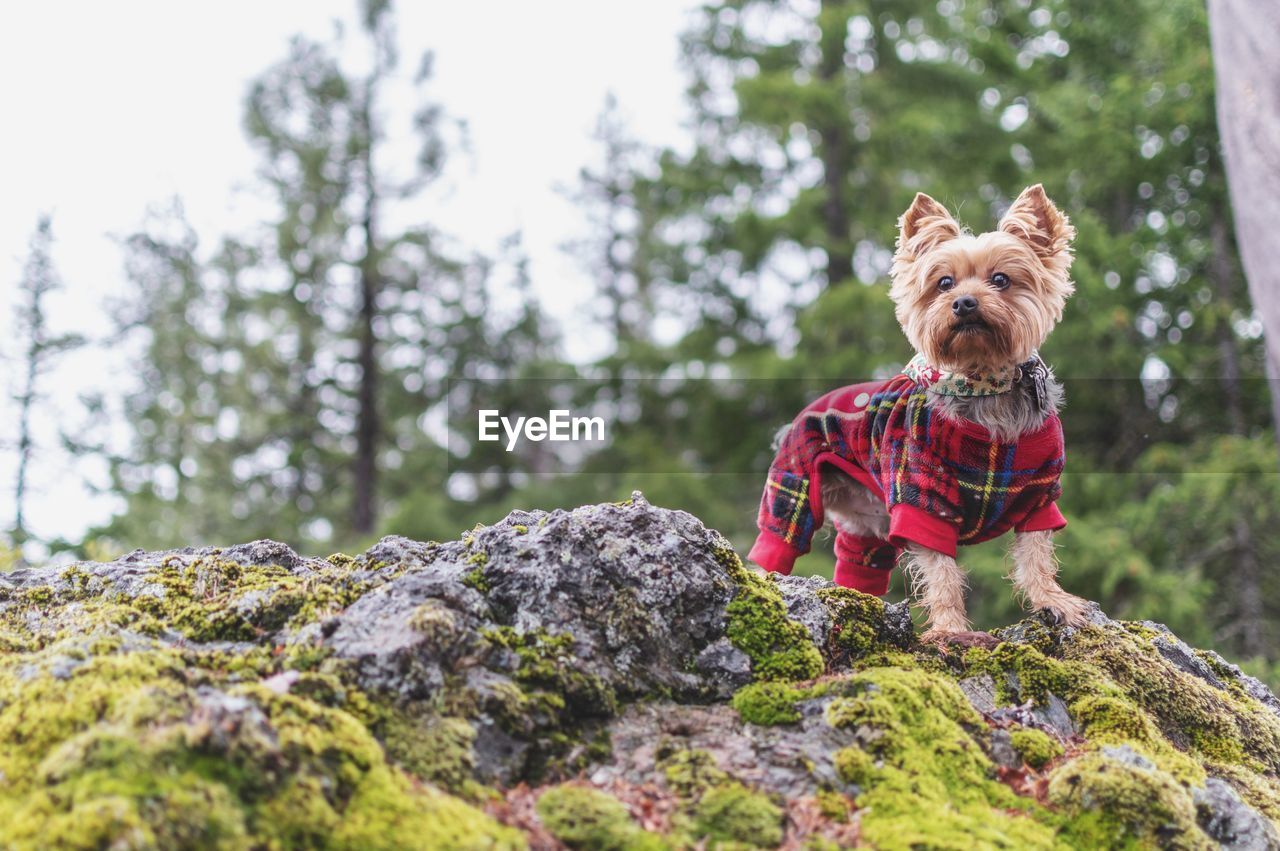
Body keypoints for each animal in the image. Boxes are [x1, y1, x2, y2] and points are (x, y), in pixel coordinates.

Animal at [747, 182, 1090, 639]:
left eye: (1001, 279)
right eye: (944, 283)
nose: (963, 303)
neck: (981, 386)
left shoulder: (1038, 496)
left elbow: (1036, 554)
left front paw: (1053, 602)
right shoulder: (922, 498)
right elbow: (942, 572)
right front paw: (949, 629)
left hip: (866, 525)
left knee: (858, 563)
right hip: (794, 488)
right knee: (779, 539)